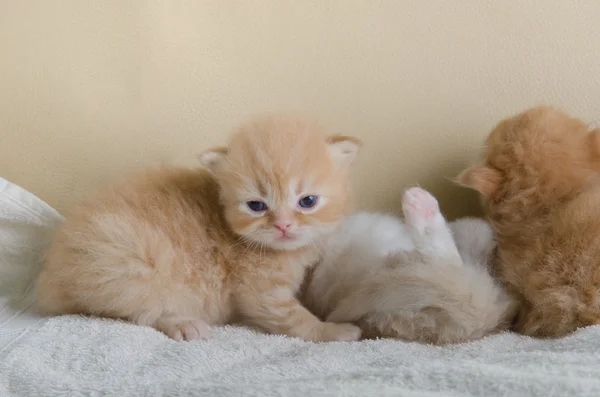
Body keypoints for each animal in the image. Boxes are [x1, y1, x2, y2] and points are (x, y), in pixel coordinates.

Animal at [37, 114, 366, 340]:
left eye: (307, 201)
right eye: (256, 206)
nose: (283, 225)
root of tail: (53, 279)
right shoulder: (260, 293)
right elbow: (296, 320)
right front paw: (334, 331)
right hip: (130, 263)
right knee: (134, 312)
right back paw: (184, 324)